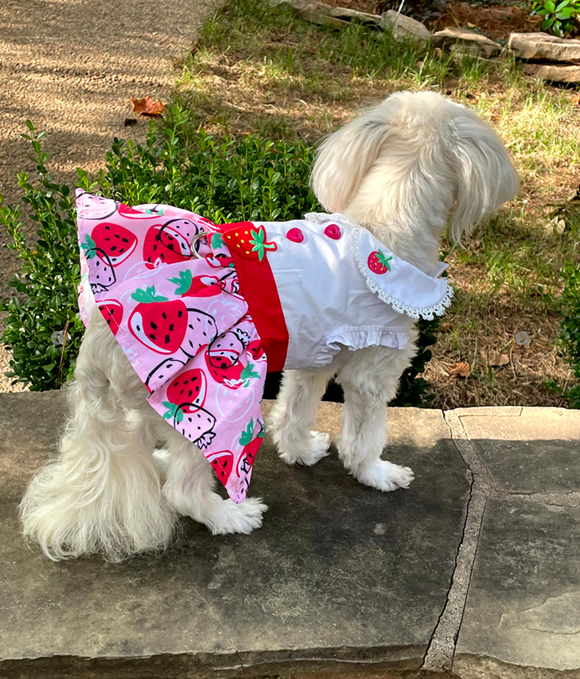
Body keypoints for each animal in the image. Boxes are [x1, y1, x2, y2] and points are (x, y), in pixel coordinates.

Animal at [21, 93, 520, 560]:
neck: (385, 224)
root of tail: (95, 341)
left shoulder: (315, 356)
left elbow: (296, 409)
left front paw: (300, 452)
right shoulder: (373, 369)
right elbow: (364, 435)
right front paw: (377, 473)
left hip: (149, 402)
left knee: (148, 443)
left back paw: (162, 459)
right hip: (213, 397)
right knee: (182, 488)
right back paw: (229, 515)